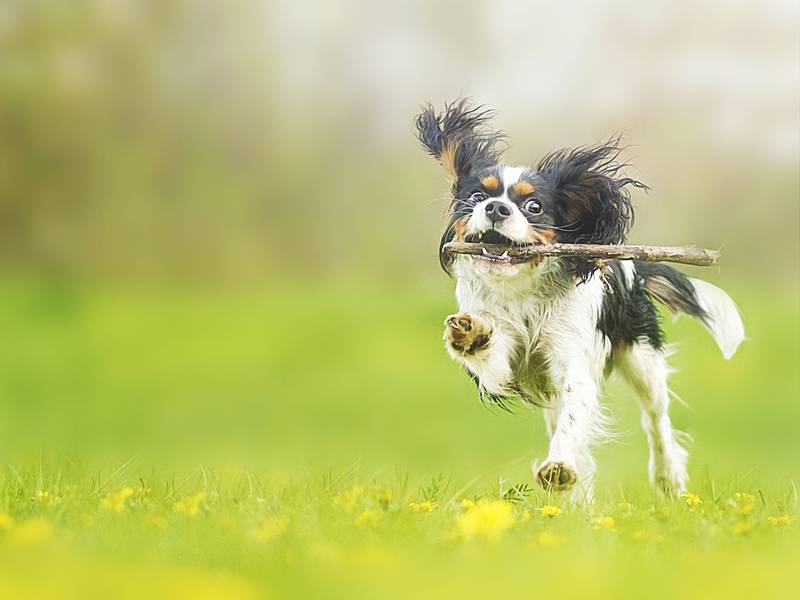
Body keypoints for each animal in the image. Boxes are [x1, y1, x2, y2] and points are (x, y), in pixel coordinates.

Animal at [416, 98, 748, 502]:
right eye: (478, 197)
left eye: (534, 207)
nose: (496, 208)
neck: (524, 288)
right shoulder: (504, 363)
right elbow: (490, 357)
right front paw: (470, 335)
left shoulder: (573, 361)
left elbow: (575, 414)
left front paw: (559, 466)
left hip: (641, 358)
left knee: (656, 420)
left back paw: (667, 477)